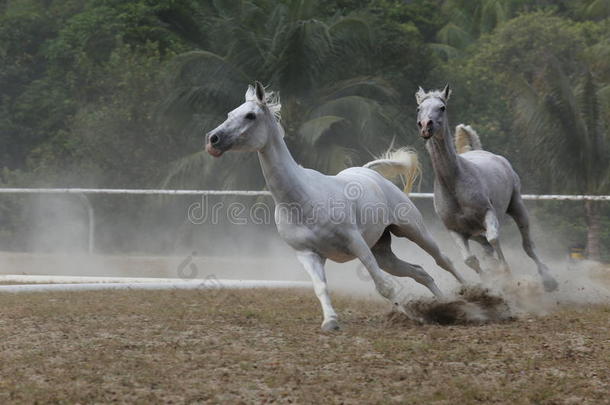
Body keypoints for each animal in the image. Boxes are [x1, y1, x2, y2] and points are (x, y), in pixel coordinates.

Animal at [414, 84, 556, 290]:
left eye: (442, 107)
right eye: (419, 108)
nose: (426, 126)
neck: (455, 184)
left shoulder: (488, 214)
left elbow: (494, 238)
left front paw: (506, 273)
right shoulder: (455, 230)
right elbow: (470, 260)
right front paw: (488, 281)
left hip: (517, 207)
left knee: (527, 245)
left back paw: (548, 280)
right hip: (475, 235)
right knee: (487, 250)